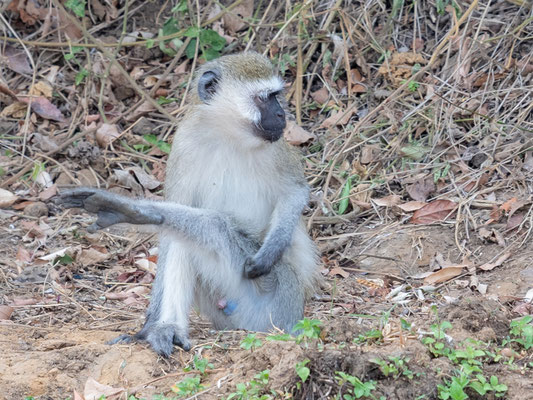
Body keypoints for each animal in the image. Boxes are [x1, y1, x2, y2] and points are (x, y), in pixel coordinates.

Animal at [59, 52, 316, 356]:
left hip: (279, 299)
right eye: (264, 98)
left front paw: (270, 252)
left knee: (213, 227)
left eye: (276, 96)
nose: (281, 115)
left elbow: (295, 193)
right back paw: (167, 327)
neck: (229, 135)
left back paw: (129, 211)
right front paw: (149, 327)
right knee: (182, 238)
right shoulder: (184, 145)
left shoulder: (279, 148)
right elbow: (174, 233)